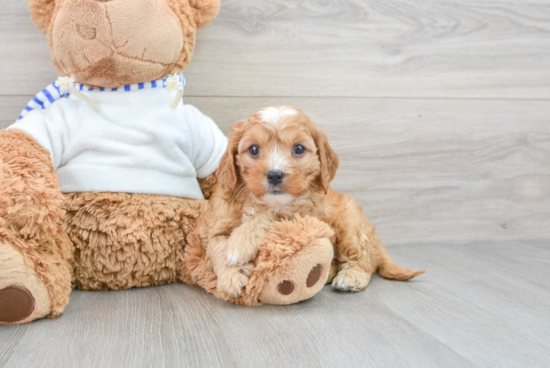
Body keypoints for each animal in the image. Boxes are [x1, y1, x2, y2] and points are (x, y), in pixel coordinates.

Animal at [198, 105, 426, 296]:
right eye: (253, 149)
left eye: (299, 149)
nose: (275, 175)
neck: (263, 201)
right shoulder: (217, 225)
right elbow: (217, 247)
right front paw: (231, 276)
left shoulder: (304, 216)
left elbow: (271, 216)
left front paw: (240, 243)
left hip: (350, 227)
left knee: (362, 258)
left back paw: (351, 277)